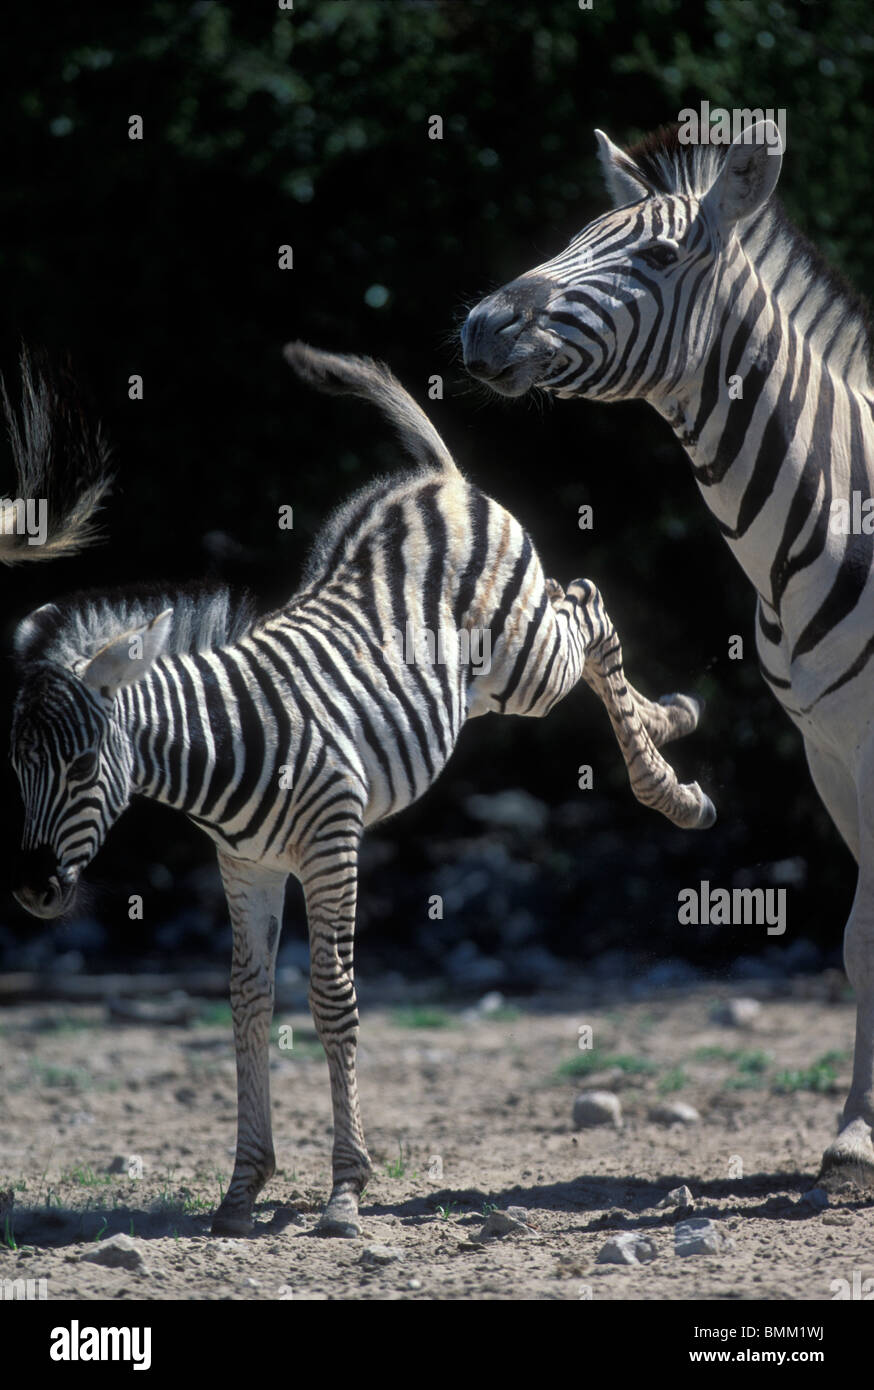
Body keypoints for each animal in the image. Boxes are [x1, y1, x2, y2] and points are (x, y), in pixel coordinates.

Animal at [8, 341, 716, 1234]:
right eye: (15, 767)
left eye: (79, 766)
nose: (33, 891)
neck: (224, 749)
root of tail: (436, 480)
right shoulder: (247, 866)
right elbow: (246, 1001)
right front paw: (242, 1187)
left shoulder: (331, 843)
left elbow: (331, 997)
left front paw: (346, 1190)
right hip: (485, 684)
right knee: (574, 608)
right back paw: (673, 720)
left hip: (525, 664)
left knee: (586, 609)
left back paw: (671, 780)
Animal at [466, 119, 872, 1189]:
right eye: (575, 237)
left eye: (654, 257)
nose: (480, 326)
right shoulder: (831, 749)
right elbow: (863, 939)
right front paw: (856, 1136)